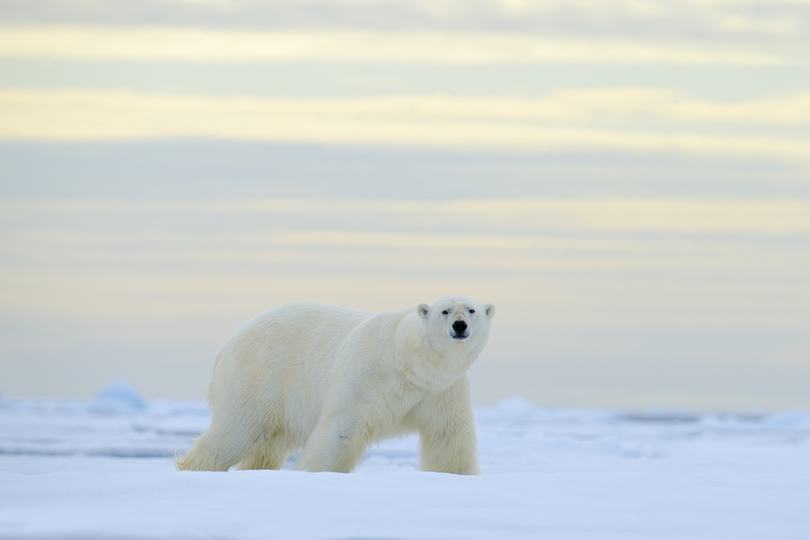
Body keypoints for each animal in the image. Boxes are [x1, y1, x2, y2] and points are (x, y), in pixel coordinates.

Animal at [175, 298, 492, 474]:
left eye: (472, 310)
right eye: (445, 311)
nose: (460, 326)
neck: (409, 362)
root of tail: (228, 342)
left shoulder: (441, 391)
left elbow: (449, 435)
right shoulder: (369, 378)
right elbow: (343, 429)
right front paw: (315, 472)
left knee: (268, 445)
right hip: (259, 376)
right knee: (235, 431)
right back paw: (196, 467)